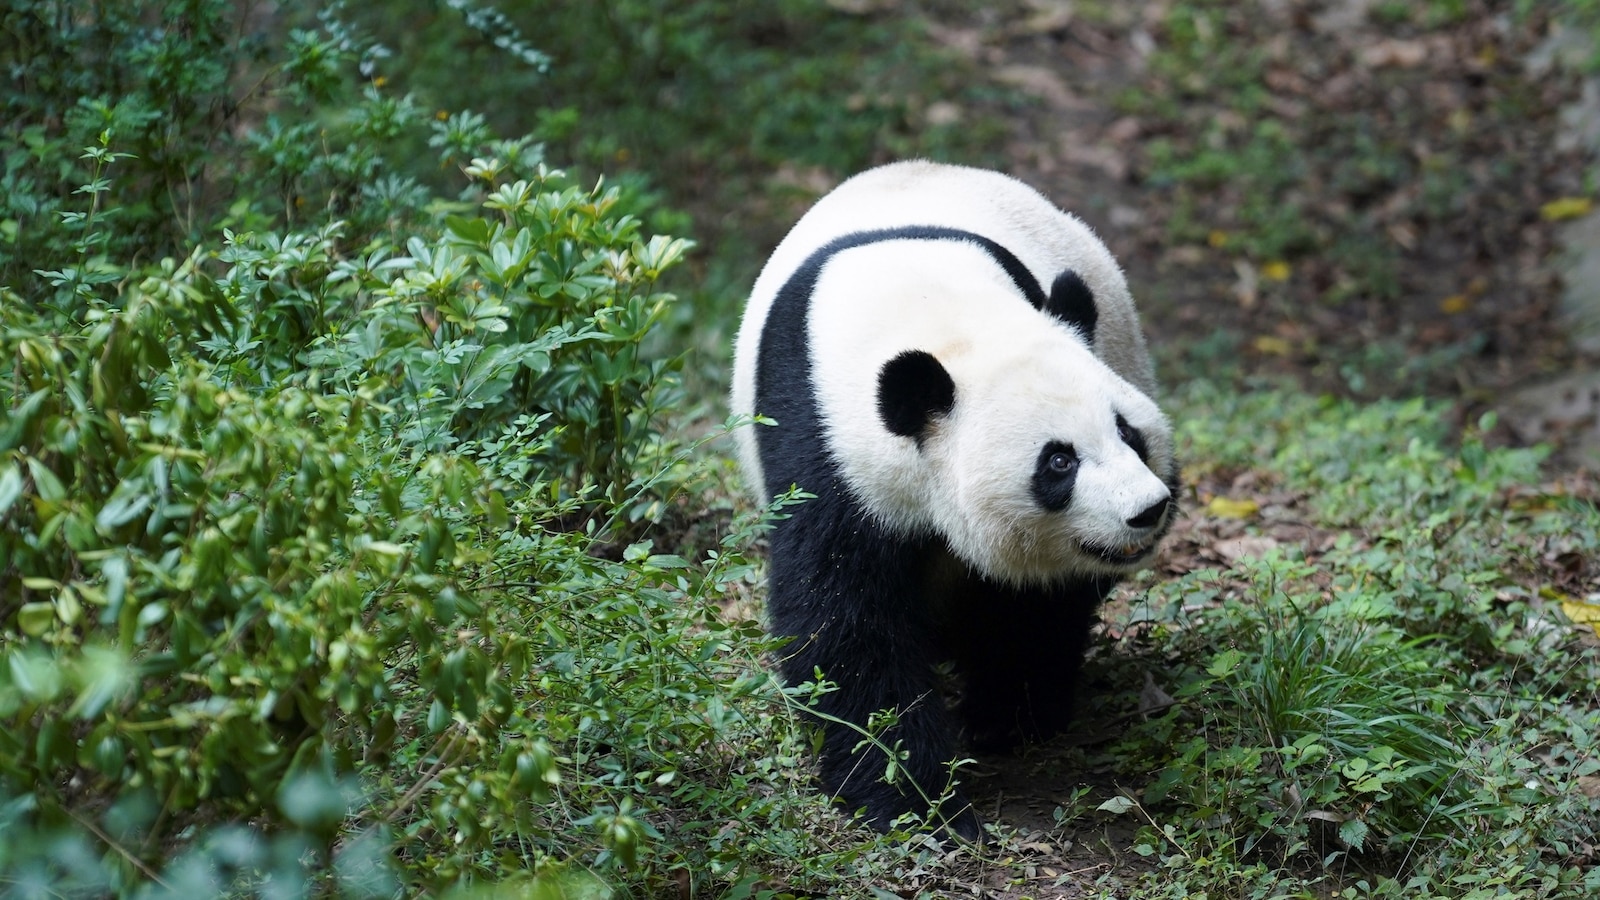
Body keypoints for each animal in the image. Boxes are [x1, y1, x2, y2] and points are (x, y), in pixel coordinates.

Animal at [730, 160, 1178, 842]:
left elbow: (1028, 604)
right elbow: (845, 622)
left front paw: (1004, 716)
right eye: (1059, 462)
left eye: (1129, 434)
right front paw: (913, 800)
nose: (1147, 510)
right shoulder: (822, 443)